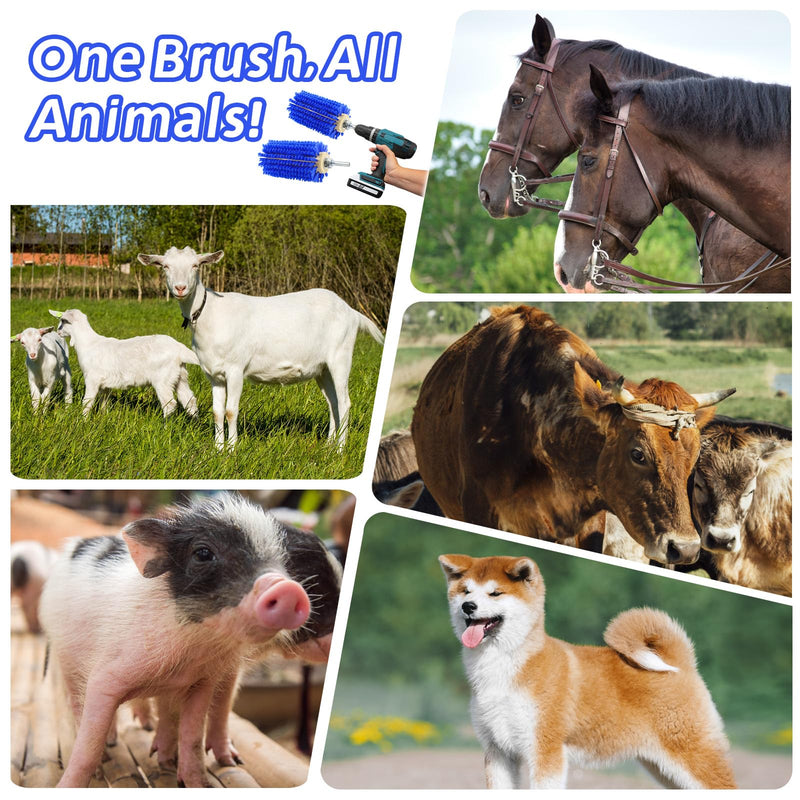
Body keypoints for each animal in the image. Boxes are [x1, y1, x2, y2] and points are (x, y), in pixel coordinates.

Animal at [48, 309, 199, 418]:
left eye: (63, 321)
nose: (58, 331)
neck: (89, 343)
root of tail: (179, 348)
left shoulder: (92, 379)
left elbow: (87, 402)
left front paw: (82, 421)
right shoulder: (105, 385)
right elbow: (104, 402)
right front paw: (103, 419)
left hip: (163, 380)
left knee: (170, 404)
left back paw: (166, 428)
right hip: (180, 377)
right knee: (190, 400)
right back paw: (195, 425)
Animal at [138, 246, 385, 451]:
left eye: (196, 265)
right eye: (165, 266)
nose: (180, 288)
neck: (210, 313)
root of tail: (352, 312)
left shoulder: (235, 369)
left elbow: (230, 411)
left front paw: (232, 450)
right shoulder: (214, 374)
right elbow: (217, 412)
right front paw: (217, 449)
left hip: (340, 356)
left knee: (344, 403)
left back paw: (340, 450)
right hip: (322, 369)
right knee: (332, 403)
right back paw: (328, 446)